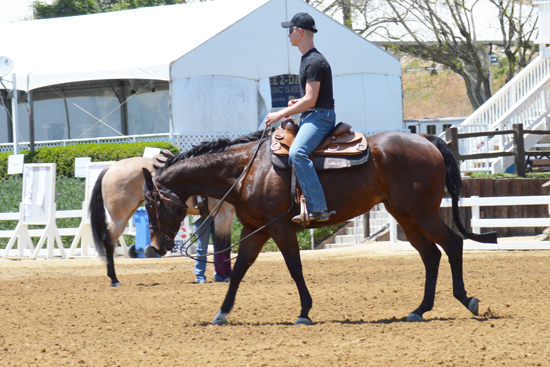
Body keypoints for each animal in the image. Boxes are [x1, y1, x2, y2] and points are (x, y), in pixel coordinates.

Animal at [90, 156, 235, 288]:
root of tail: (110, 168)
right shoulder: (223, 213)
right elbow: (221, 245)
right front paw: (223, 276)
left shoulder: (230, 214)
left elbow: (226, 244)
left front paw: (228, 274)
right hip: (119, 217)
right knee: (109, 242)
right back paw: (114, 279)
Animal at [140, 129, 498, 324]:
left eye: (151, 203)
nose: (154, 247)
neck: (246, 170)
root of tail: (424, 139)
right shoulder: (258, 231)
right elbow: (240, 270)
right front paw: (222, 313)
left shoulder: (280, 229)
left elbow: (294, 267)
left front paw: (304, 311)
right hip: (406, 217)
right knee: (431, 255)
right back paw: (420, 309)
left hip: (422, 213)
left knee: (452, 244)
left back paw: (466, 299)